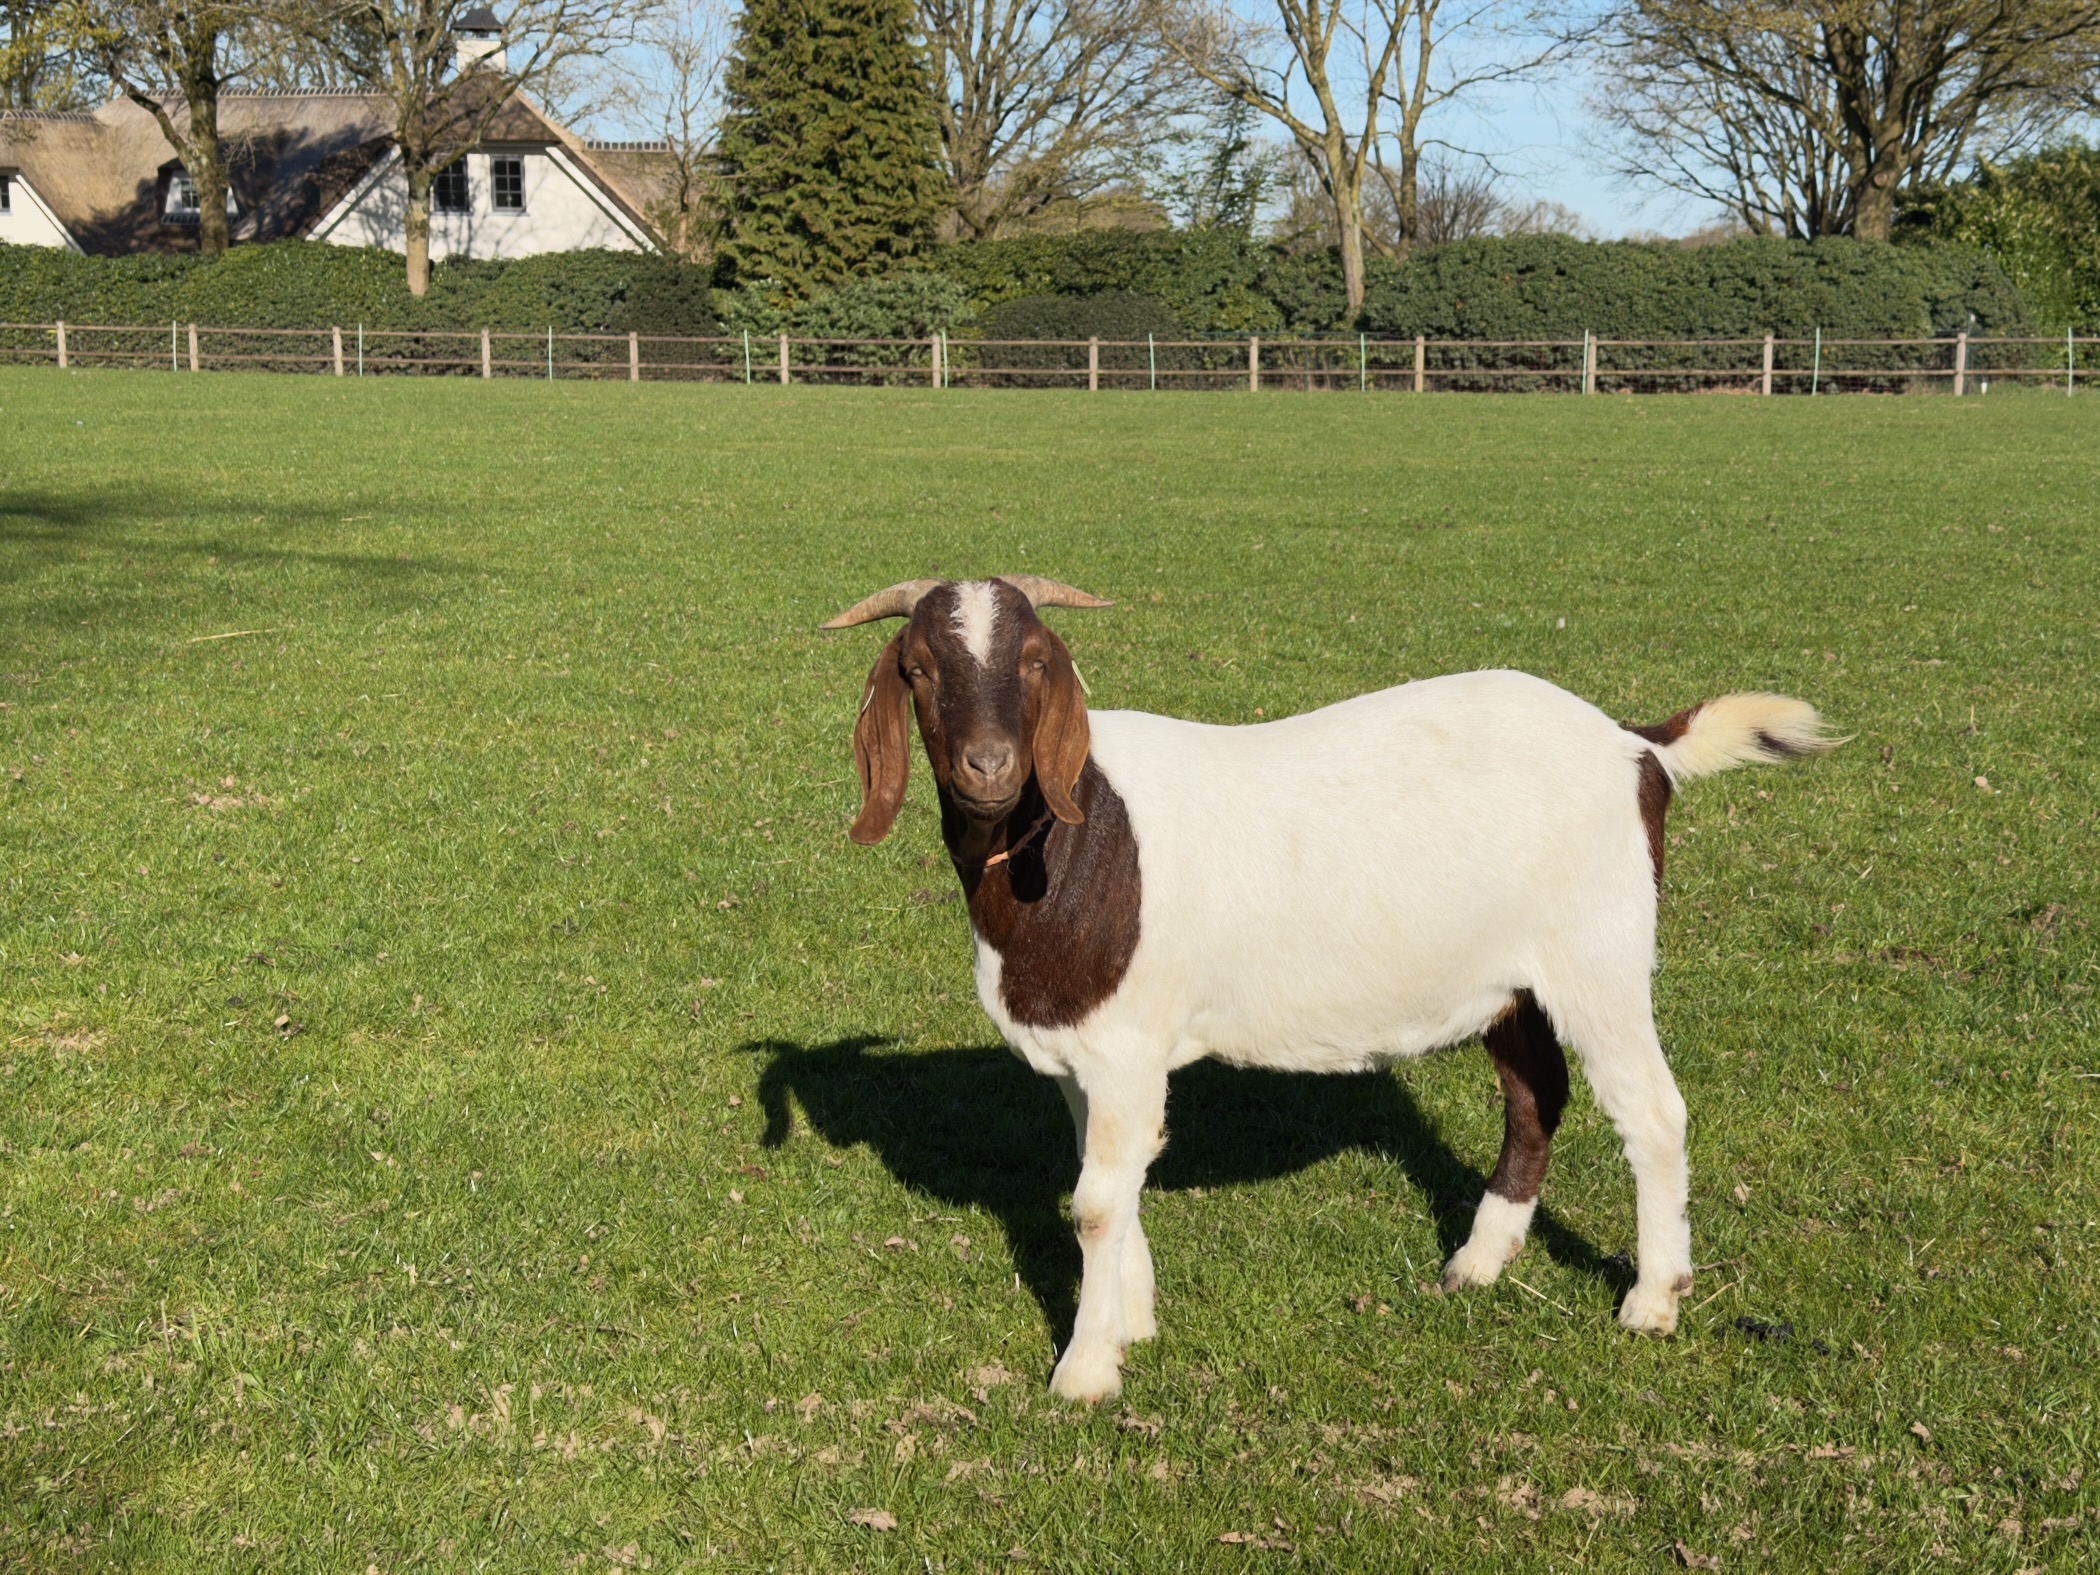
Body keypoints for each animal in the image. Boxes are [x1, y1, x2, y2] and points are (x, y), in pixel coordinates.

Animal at [823, 576, 1838, 1403]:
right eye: (917, 667)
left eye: (1035, 661)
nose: (989, 766)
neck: (1073, 840)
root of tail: (1634, 743)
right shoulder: (1089, 1055)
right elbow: (1115, 1180)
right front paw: (1133, 1321)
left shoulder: (1124, 1045)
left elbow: (1098, 1201)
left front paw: (1086, 1369)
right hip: (1509, 979)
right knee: (1534, 1095)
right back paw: (1478, 1262)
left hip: (1600, 952)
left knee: (1652, 1113)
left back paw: (1653, 1299)